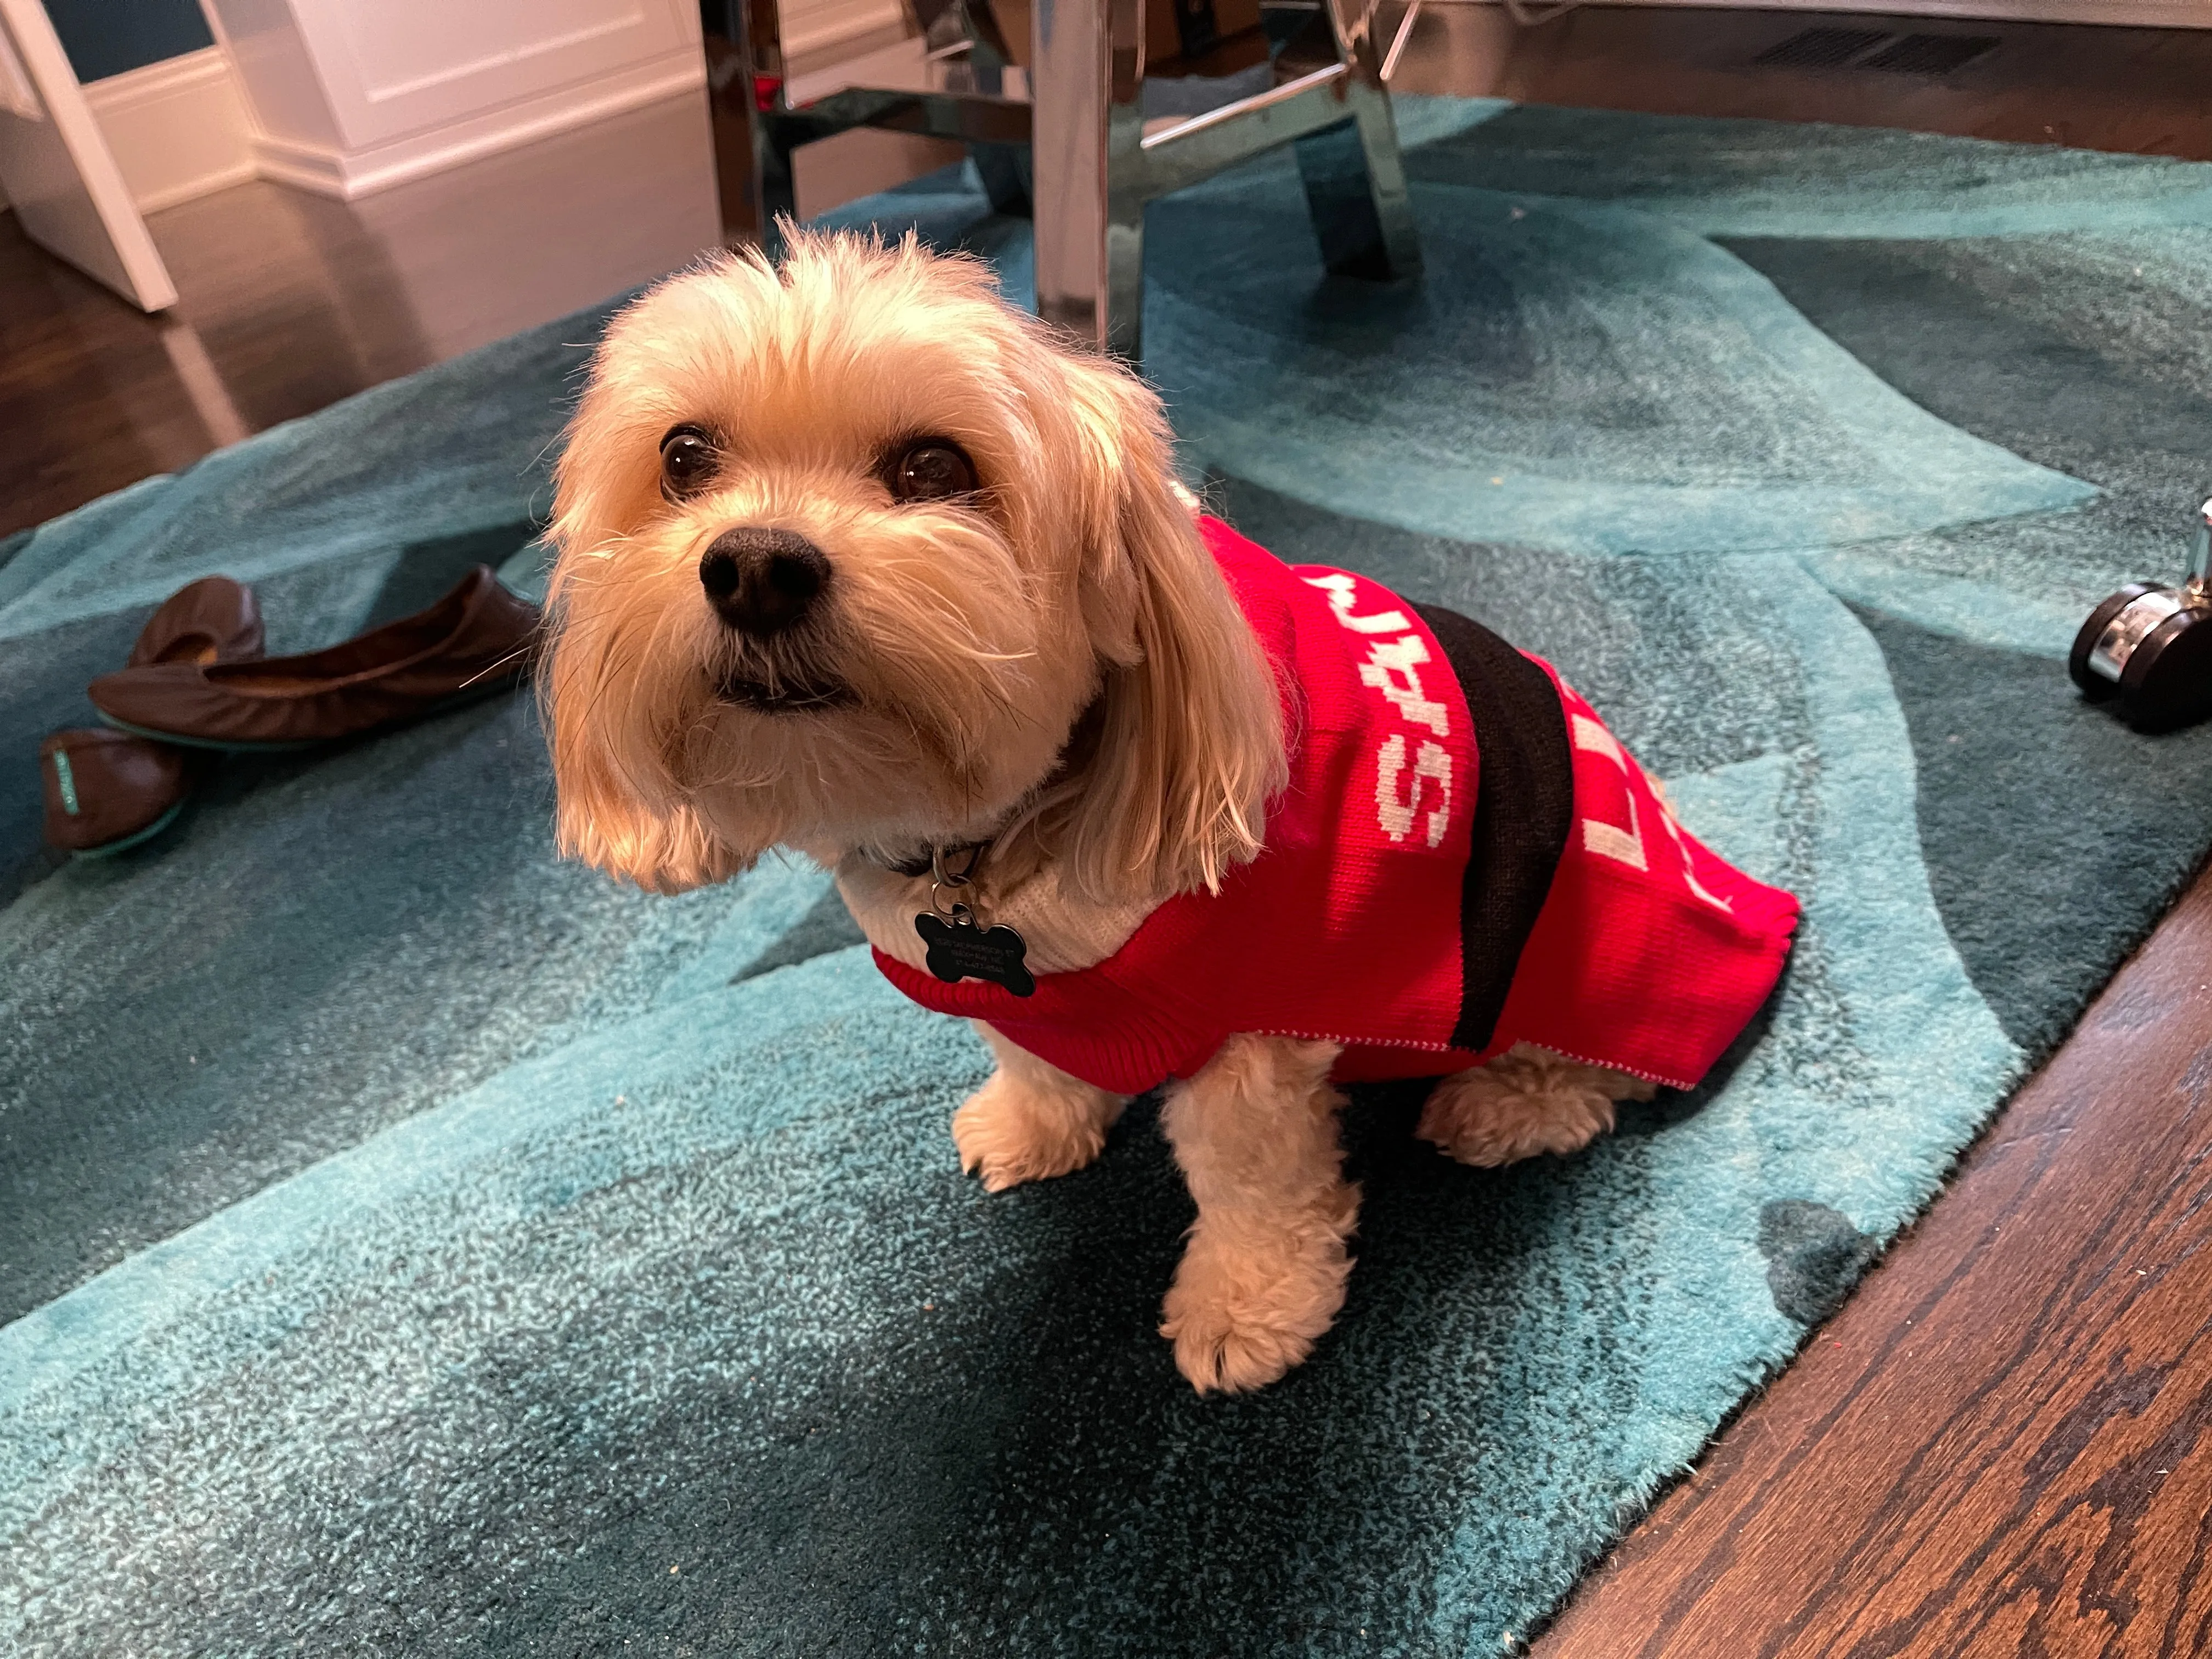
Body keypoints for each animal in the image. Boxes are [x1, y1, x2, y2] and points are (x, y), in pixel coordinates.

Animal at [548, 228, 1796, 1398]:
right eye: (685, 457)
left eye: (936, 464)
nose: (756, 566)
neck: (993, 842)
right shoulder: (1006, 981)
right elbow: (1034, 1052)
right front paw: (1039, 1121)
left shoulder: (1258, 1032)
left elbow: (1251, 1181)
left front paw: (1247, 1307)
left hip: (1585, 951)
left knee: (1600, 1072)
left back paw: (1503, 1104)